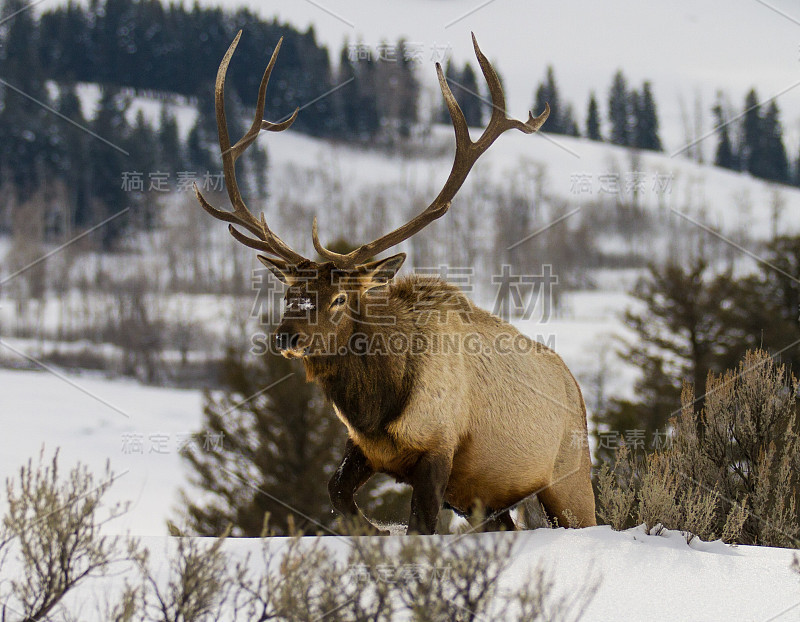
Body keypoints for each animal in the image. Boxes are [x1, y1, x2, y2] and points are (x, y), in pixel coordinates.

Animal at [194, 30, 592, 536]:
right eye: (289, 292)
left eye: (340, 298)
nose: (286, 336)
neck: (378, 408)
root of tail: (576, 388)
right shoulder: (366, 449)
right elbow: (337, 494)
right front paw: (376, 529)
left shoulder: (438, 451)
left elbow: (421, 526)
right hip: (490, 497)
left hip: (570, 480)